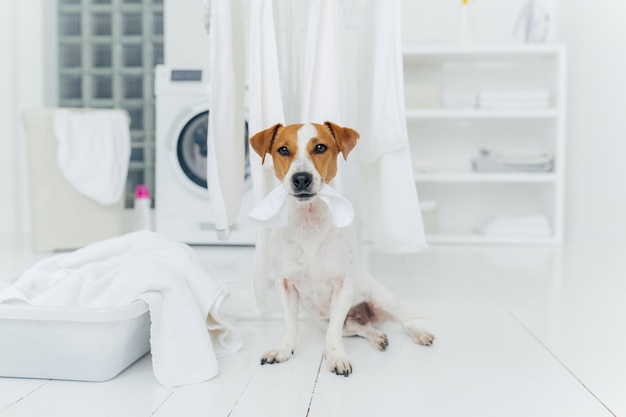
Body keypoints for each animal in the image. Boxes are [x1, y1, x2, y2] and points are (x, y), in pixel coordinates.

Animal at [249, 121, 434, 376]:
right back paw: (377, 336)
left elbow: (333, 332)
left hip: (384, 299)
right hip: (327, 320)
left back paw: (419, 333)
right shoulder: (285, 285)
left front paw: (336, 356)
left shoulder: (342, 286)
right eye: (283, 150)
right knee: (359, 327)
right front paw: (283, 349)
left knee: (405, 320)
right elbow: (290, 323)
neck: (309, 223)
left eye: (320, 147)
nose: (301, 178)